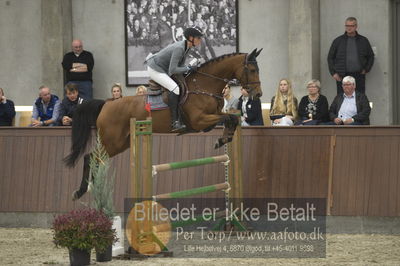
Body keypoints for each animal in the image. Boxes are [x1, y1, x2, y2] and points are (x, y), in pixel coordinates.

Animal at [65, 48, 262, 201]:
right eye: (252, 70)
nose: (258, 94)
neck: (205, 85)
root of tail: (106, 103)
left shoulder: (213, 116)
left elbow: (232, 118)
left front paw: (224, 139)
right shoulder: (199, 121)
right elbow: (228, 119)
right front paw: (221, 140)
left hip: (121, 143)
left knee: (95, 158)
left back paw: (88, 188)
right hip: (112, 141)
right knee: (89, 157)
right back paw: (81, 191)